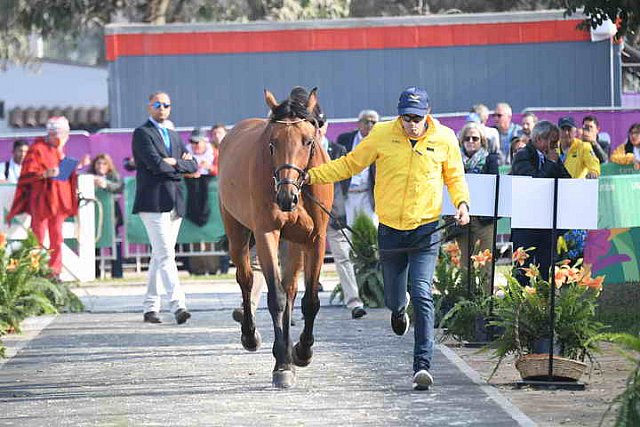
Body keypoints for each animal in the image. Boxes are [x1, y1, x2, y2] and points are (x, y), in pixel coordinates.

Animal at [218, 88, 332, 390]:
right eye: (272, 143)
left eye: (308, 141)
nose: (285, 197)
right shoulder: (266, 233)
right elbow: (276, 298)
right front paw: (282, 364)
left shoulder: (315, 239)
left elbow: (309, 300)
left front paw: (302, 351)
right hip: (237, 230)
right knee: (246, 279)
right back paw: (250, 335)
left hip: (292, 242)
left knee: (291, 289)